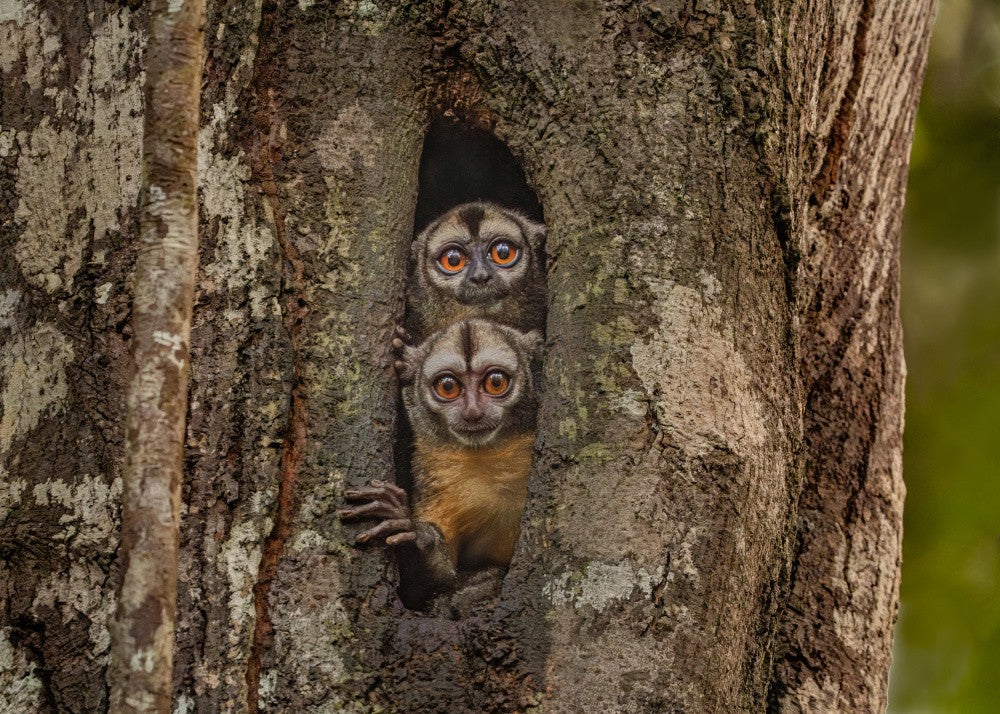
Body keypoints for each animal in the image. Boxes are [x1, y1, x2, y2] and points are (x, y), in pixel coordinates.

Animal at [339, 319, 543, 608]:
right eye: (448, 386)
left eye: (496, 382)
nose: (472, 413)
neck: (486, 455)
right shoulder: (431, 476)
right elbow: (418, 591)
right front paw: (410, 534)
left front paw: (412, 533)